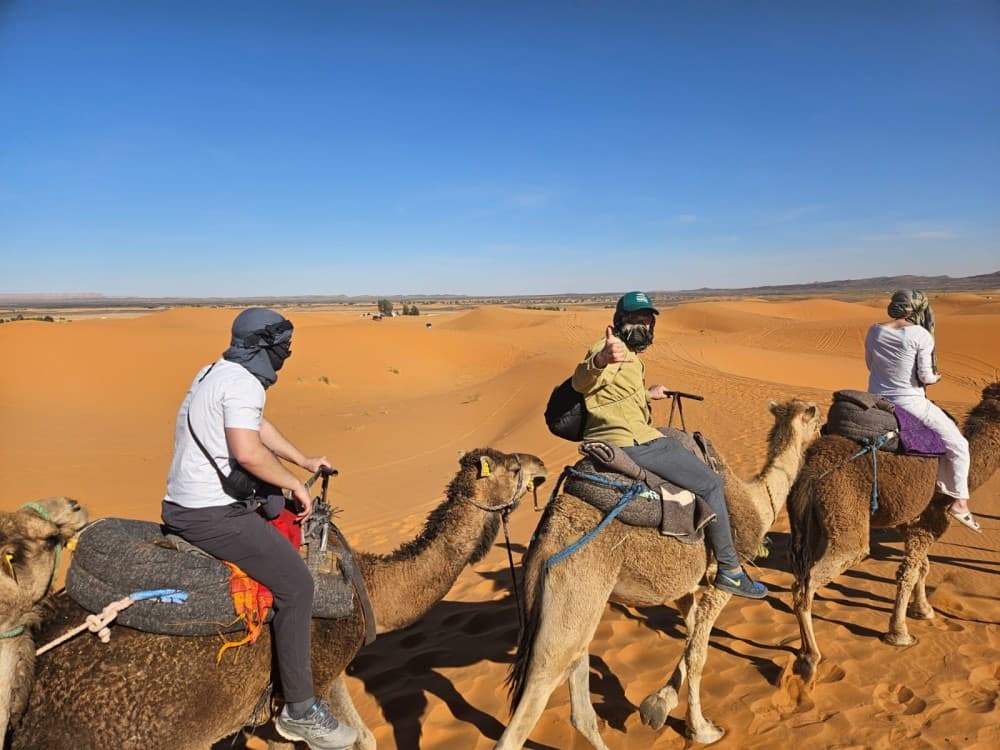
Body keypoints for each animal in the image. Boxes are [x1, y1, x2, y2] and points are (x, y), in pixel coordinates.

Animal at [496, 399, 822, 749]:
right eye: (816, 420)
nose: (824, 432)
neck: (759, 501)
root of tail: (547, 538)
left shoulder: (684, 589)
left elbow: (690, 638)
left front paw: (658, 705)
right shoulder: (721, 582)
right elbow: (698, 652)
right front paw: (702, 729)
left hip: (577, 608)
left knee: (579, 701)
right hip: (574, 594)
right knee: (531, 701)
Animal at [788, 382, 1000, 685]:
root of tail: (812, 472)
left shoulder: (912, 522)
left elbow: (922, 567)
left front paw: (923, 610)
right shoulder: (929, 521)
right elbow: (908, 573)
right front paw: (900, 633)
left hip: (813, 526)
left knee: (801, 575)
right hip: (845, 515)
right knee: (807, 584)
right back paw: (809, 659)